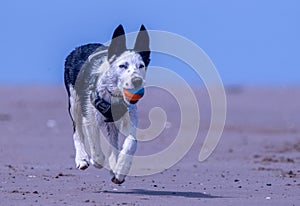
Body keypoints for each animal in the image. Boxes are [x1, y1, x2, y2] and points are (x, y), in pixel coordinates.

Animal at [64, 25, 151, 184]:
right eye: (122, 66)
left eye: (141, 66)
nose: (137, 81)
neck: (113, 94)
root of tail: (77, 49)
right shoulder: (90, 117)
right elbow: (96, 151)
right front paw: (95, 161)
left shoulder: (130, 116)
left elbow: (132, 143)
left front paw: (121, 169)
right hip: (74, 103)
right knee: (77, 131)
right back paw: (82, 159)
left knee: (113, 140)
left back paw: (114, 165)